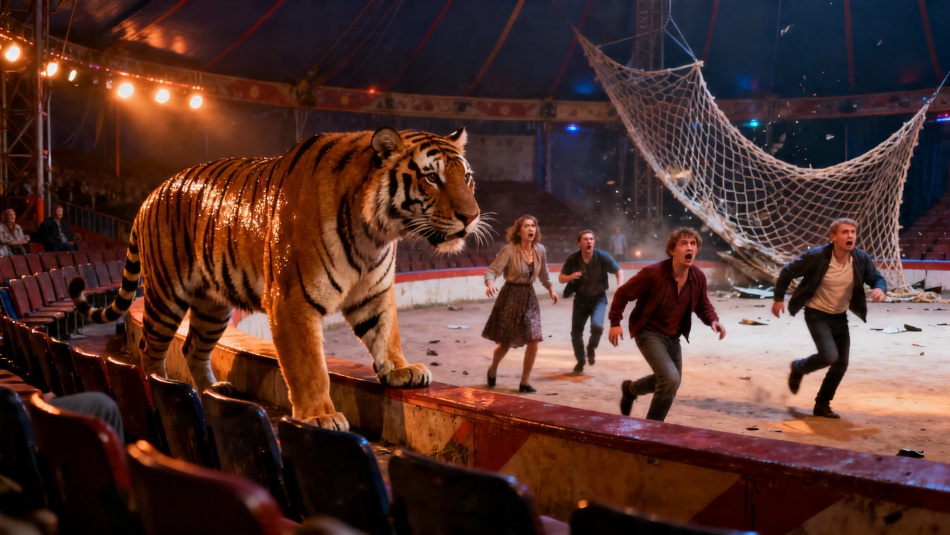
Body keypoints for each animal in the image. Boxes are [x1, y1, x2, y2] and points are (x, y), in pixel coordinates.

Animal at [69, 127, 484, 431]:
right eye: (431, 178)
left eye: (467, 178)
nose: (472, 216)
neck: (376, 233)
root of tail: (150, 194)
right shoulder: (292, 300)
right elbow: (309, 366)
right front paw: (320, 415)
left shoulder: (374, 292)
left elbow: (386, 332)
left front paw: (400, 370)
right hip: (166, 295)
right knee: (150, 349)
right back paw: (163, 387)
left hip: (212, 307)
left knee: (192, 349)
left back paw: (214, 390)